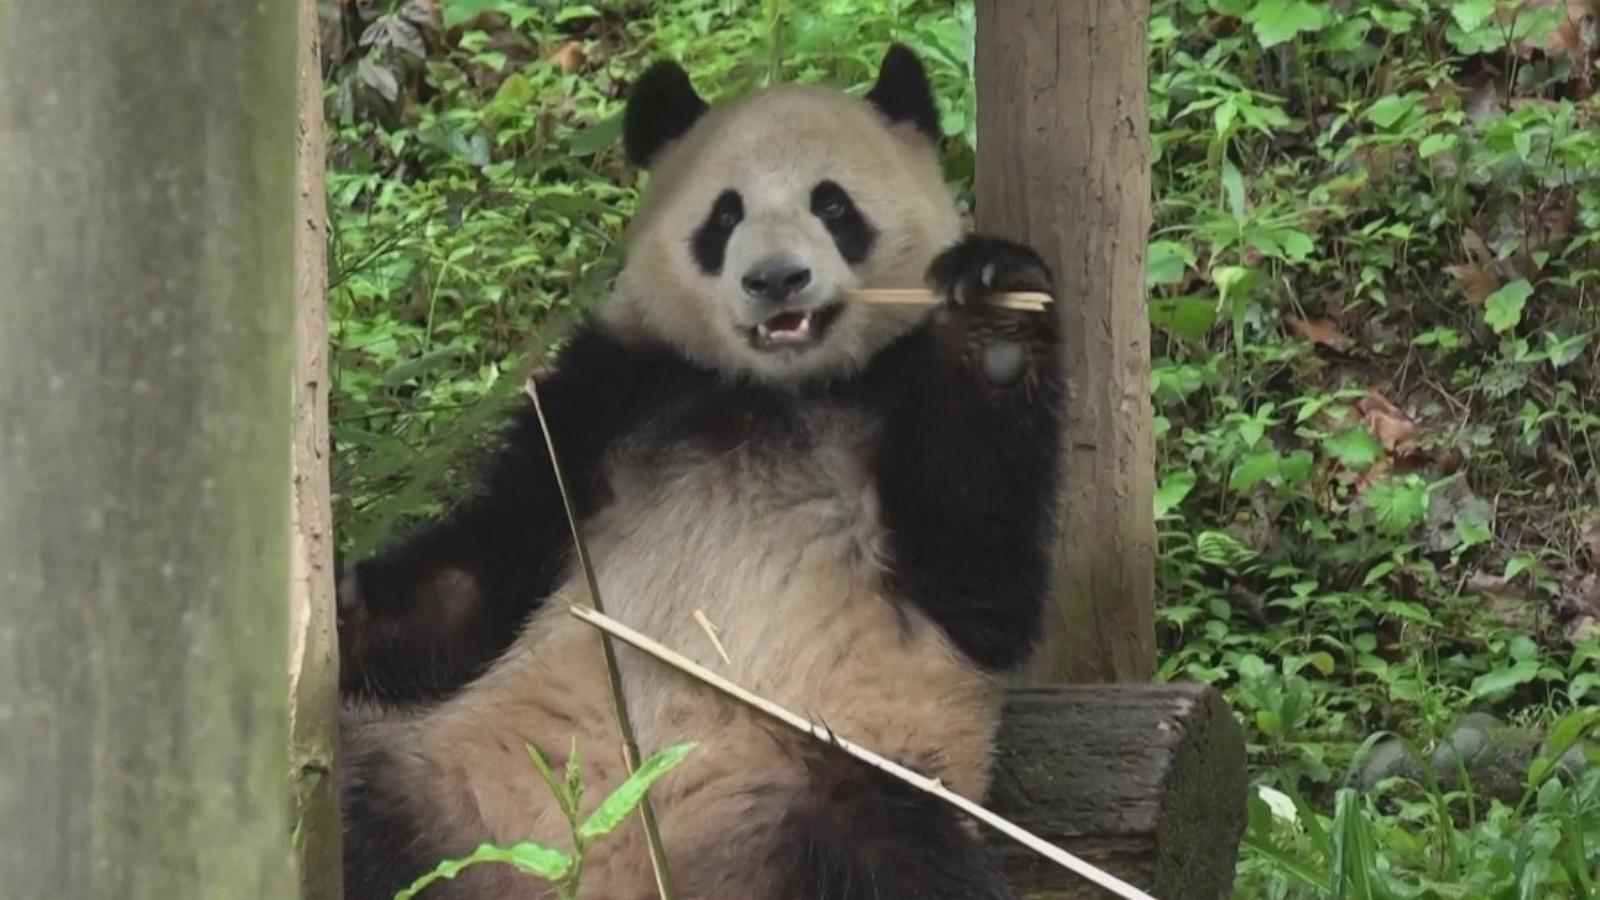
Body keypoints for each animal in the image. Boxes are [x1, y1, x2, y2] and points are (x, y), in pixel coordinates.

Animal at [336, 43, 1062, 896]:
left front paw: (996, 322)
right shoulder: (609, 398)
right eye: (724, 215)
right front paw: (347, 603)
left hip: (819, 774)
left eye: (833, 206)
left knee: (893, 850)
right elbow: (482, 574)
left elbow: (982, 585)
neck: (774, 392)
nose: (775, 279)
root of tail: (612, 867)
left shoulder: (896, 401)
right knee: (366, 803)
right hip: (465, 779)